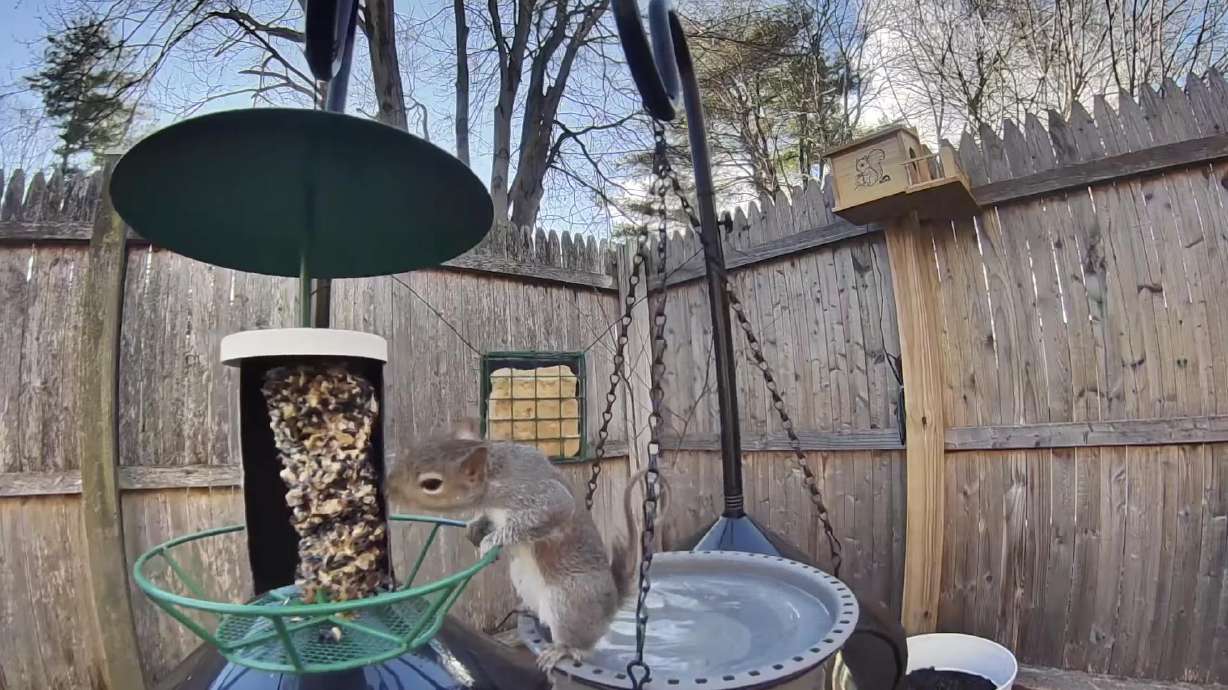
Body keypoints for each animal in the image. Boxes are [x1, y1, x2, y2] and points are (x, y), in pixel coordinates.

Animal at [386, 419, 668, 672]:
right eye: (420, 447)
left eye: (431, 484)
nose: (388, 488)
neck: (495, 475)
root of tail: (610, 606)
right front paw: (475, 527)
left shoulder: (536, 496)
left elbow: (545, 513)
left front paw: (490, 541)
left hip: (569, 602)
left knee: (580, 645)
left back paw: (561, 650)